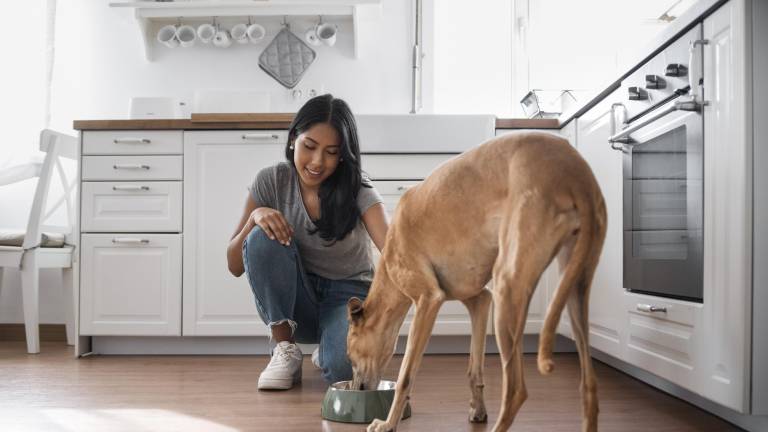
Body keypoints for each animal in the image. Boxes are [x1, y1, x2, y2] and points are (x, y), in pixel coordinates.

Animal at [346, 132, 608, 432]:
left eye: (350, 356)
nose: (356, 389)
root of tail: (575, 173)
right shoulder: (480, 301)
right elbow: (474, 367)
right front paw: (478, 410)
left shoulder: (428, 300)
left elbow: (406, 375)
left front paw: (388, 424)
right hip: (575, 287)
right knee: (589, 385)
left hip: (509, 288)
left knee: (516, 390)